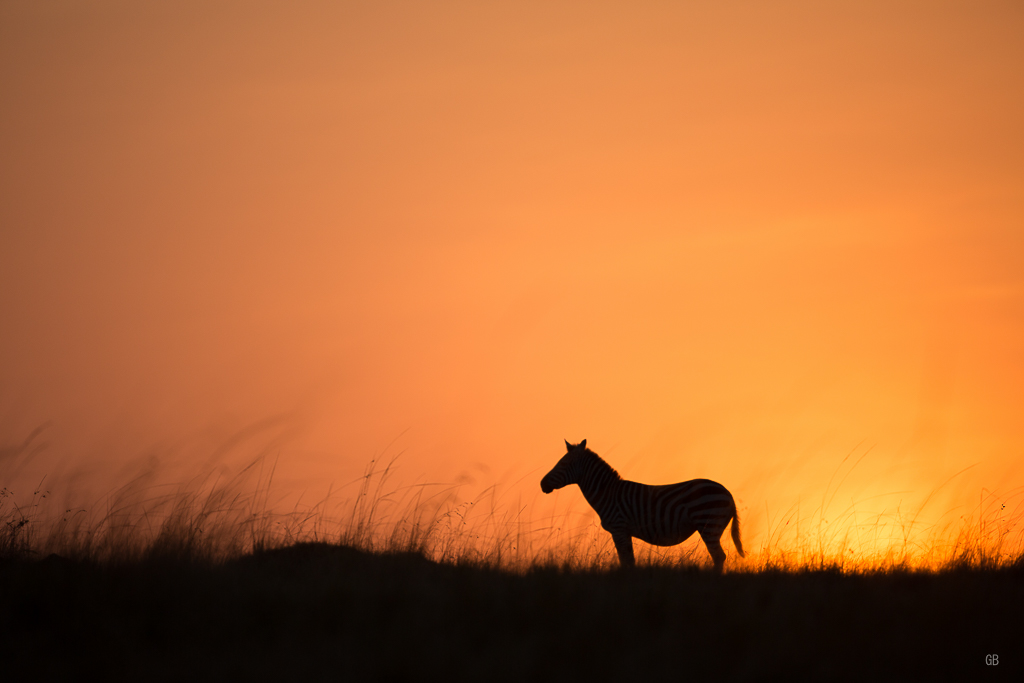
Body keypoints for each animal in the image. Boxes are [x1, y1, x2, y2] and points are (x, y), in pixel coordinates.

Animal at [544, 438, 745, 573]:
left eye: (563, 463)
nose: (541, 484)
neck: (608, 493)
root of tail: (727, 492)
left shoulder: (619, 529)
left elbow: (626, 561)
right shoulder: (624, 532)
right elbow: (628, 561)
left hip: (708, 524)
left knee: (719, 557)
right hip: (712, 527)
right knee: (719, 557)